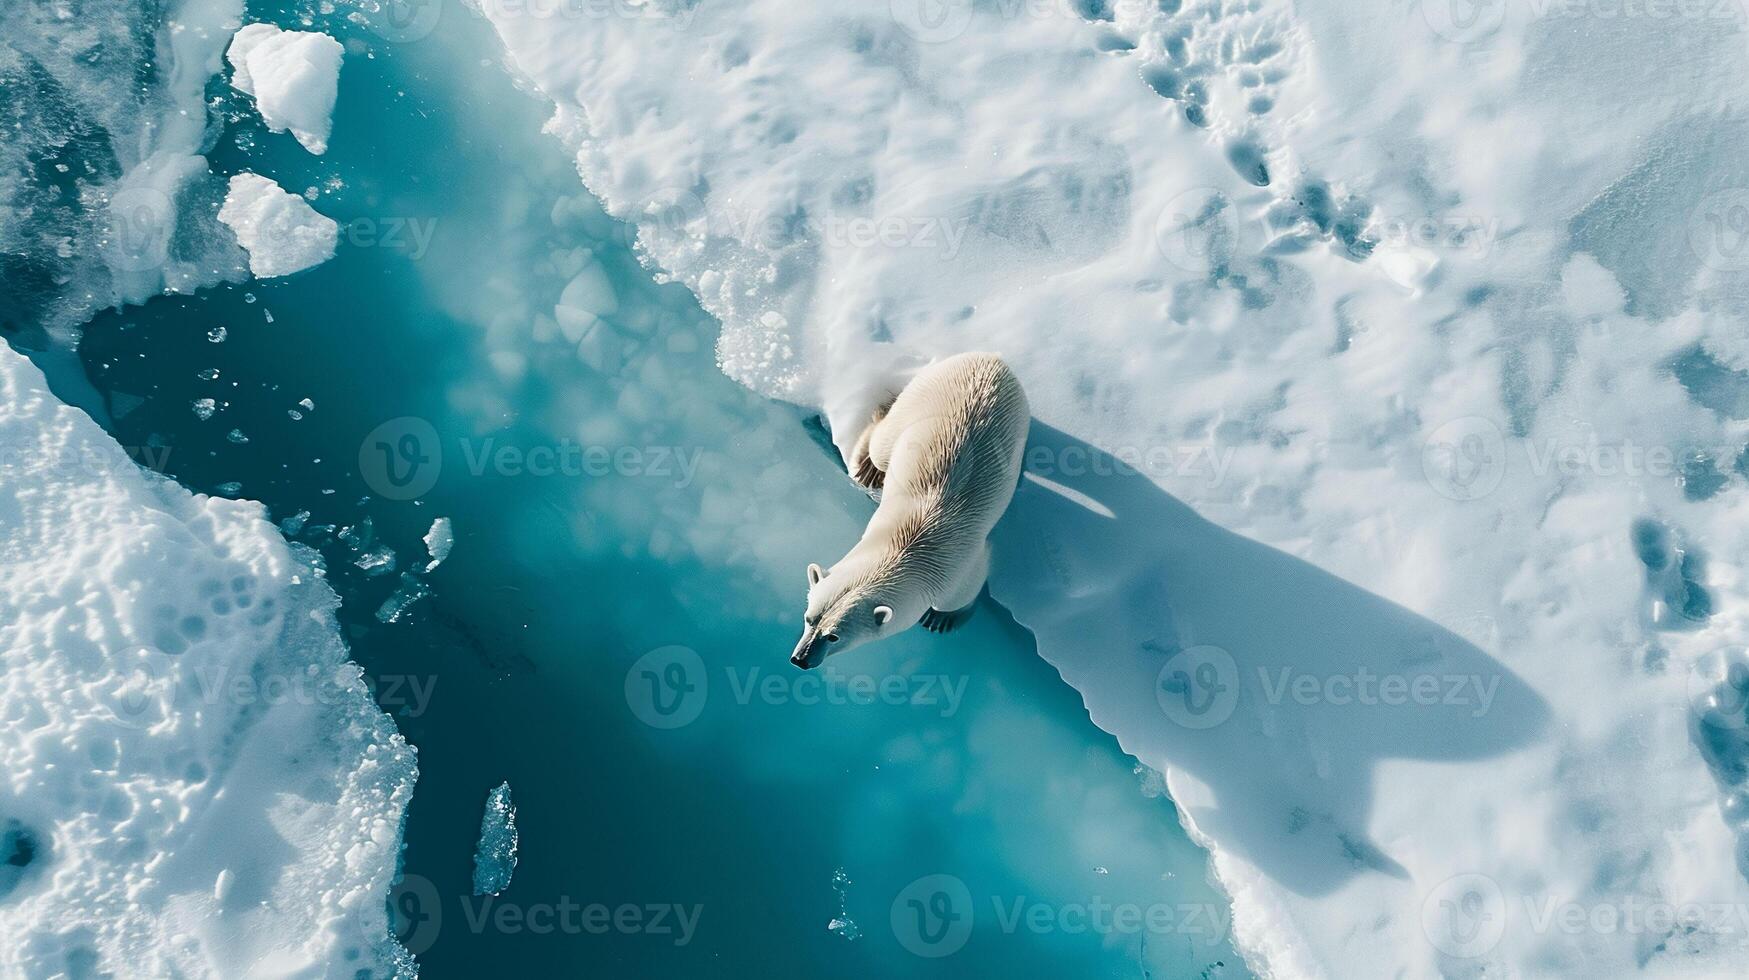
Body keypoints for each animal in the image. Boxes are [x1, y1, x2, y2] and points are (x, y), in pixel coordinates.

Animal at [790, 348, 1021, 668]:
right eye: (809, 617)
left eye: (834, 636)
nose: (800, 659)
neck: (910, 542)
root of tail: (988, 357)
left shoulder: (960, 567)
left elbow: (962, 593)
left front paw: (942, 619)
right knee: (884, 441)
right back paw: (870, 469)